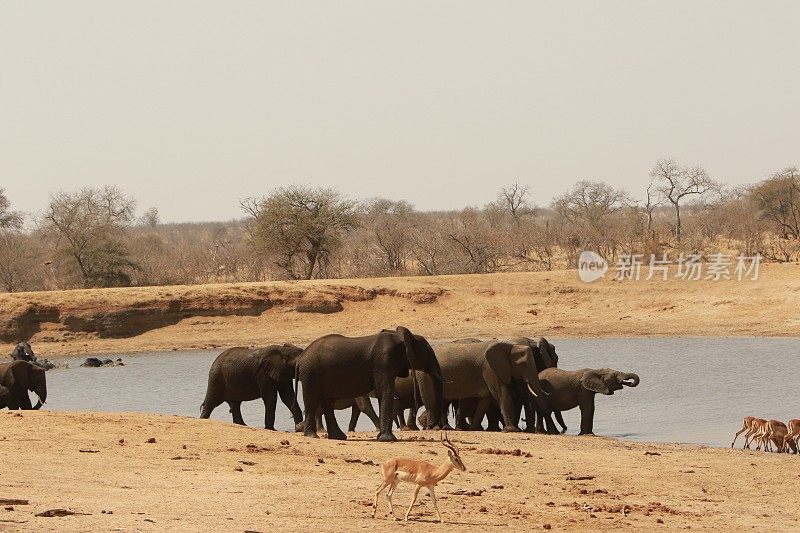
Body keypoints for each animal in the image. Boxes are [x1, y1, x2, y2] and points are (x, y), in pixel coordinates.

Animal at [296, 324, 444, 440]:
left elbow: (381, 393)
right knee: (312, 402)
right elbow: (386, 391)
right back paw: (312, 435)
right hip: (311, 373)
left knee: (328, 403)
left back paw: (338, 437)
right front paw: (388, 439)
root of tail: (301, 357)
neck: (399, 337)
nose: (430, 426)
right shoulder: (384, 362)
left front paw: (383, 437)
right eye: (428, 351)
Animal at [418, 340, 556, 432]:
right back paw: (434, 428)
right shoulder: (489, 368)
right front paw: (511, 430)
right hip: (425, 376)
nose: (555, 432)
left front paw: (474, 429)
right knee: (432, 401)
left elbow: (486, 400)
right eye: (523, 364)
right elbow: (501, 394)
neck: (510, 345)